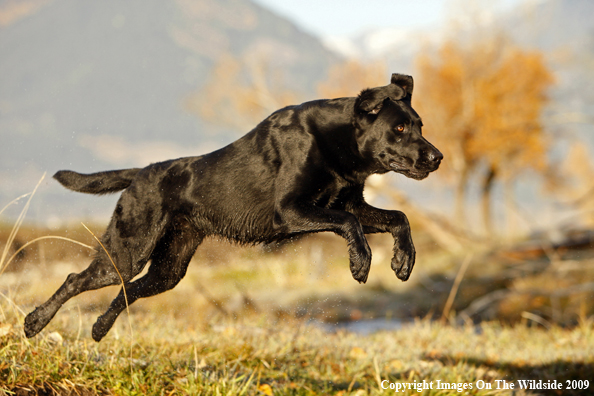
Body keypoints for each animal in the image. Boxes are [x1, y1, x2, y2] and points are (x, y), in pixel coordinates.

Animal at [23, 73, 440, 340]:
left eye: (421, 125)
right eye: (399, 129)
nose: (437, 158)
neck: (336, 140)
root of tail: (141, 172)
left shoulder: (348, 202)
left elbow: (398, 217)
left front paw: (403, 261)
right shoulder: (291, 210)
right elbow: (350, 223)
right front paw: (360, 262)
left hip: (169, 269)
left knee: (131, 290)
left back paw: (98, 328)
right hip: (128, 250)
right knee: (76, 279)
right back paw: (34, 322)